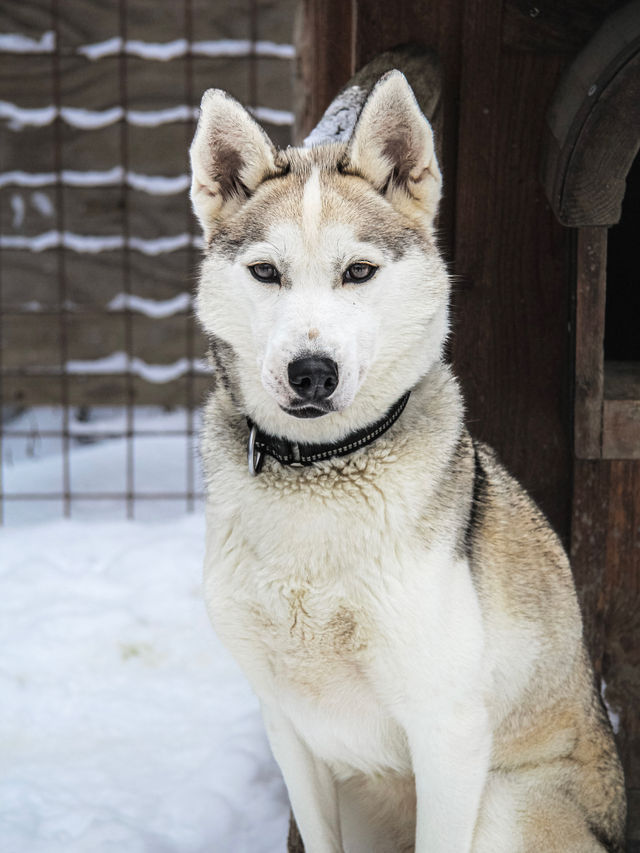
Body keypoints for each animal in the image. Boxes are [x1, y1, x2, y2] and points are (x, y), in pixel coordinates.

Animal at [189, 73, 624, 852]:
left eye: (358, 272)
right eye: (265, 272)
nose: (311, 373)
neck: (319, 473)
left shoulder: (448, 731)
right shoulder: (289, 727)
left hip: (507, 803)